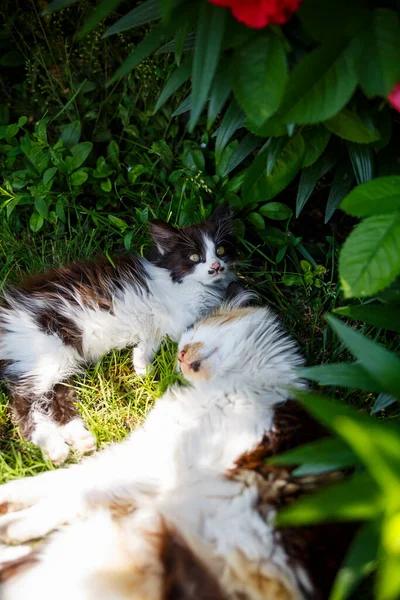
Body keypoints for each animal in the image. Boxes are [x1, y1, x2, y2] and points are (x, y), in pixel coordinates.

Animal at [0, 204, 234, 462]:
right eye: (195, 257)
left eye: (221, 250)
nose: (216, 266)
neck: (184, 284)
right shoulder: (177, 318)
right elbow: (167, 334)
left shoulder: (161, 325)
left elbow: (151, 339)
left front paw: (141, 366)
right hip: (43, 348)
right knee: (25, 402)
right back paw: (54, 448)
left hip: (56, 359)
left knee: (55, 396)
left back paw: (80, 440)